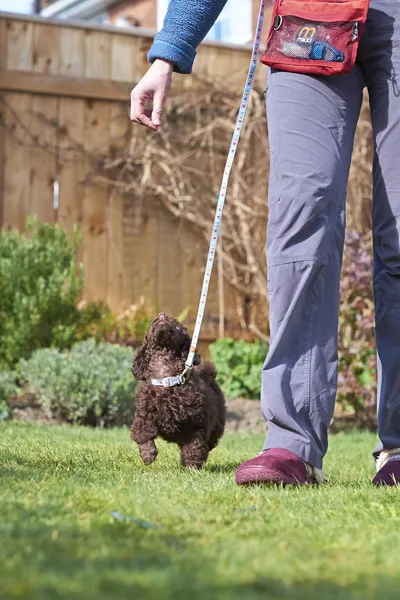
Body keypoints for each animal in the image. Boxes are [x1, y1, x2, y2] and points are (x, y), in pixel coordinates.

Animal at [131, 314, 225, 468]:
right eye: (153, 322)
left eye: (176, 323)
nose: (162, 314)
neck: (165, 378)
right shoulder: (144, 415)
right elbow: (143, 434)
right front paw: (147, 455)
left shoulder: (195, 424)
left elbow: (194, 447)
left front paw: (192, 466)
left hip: (216, 426)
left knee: (209, 442)